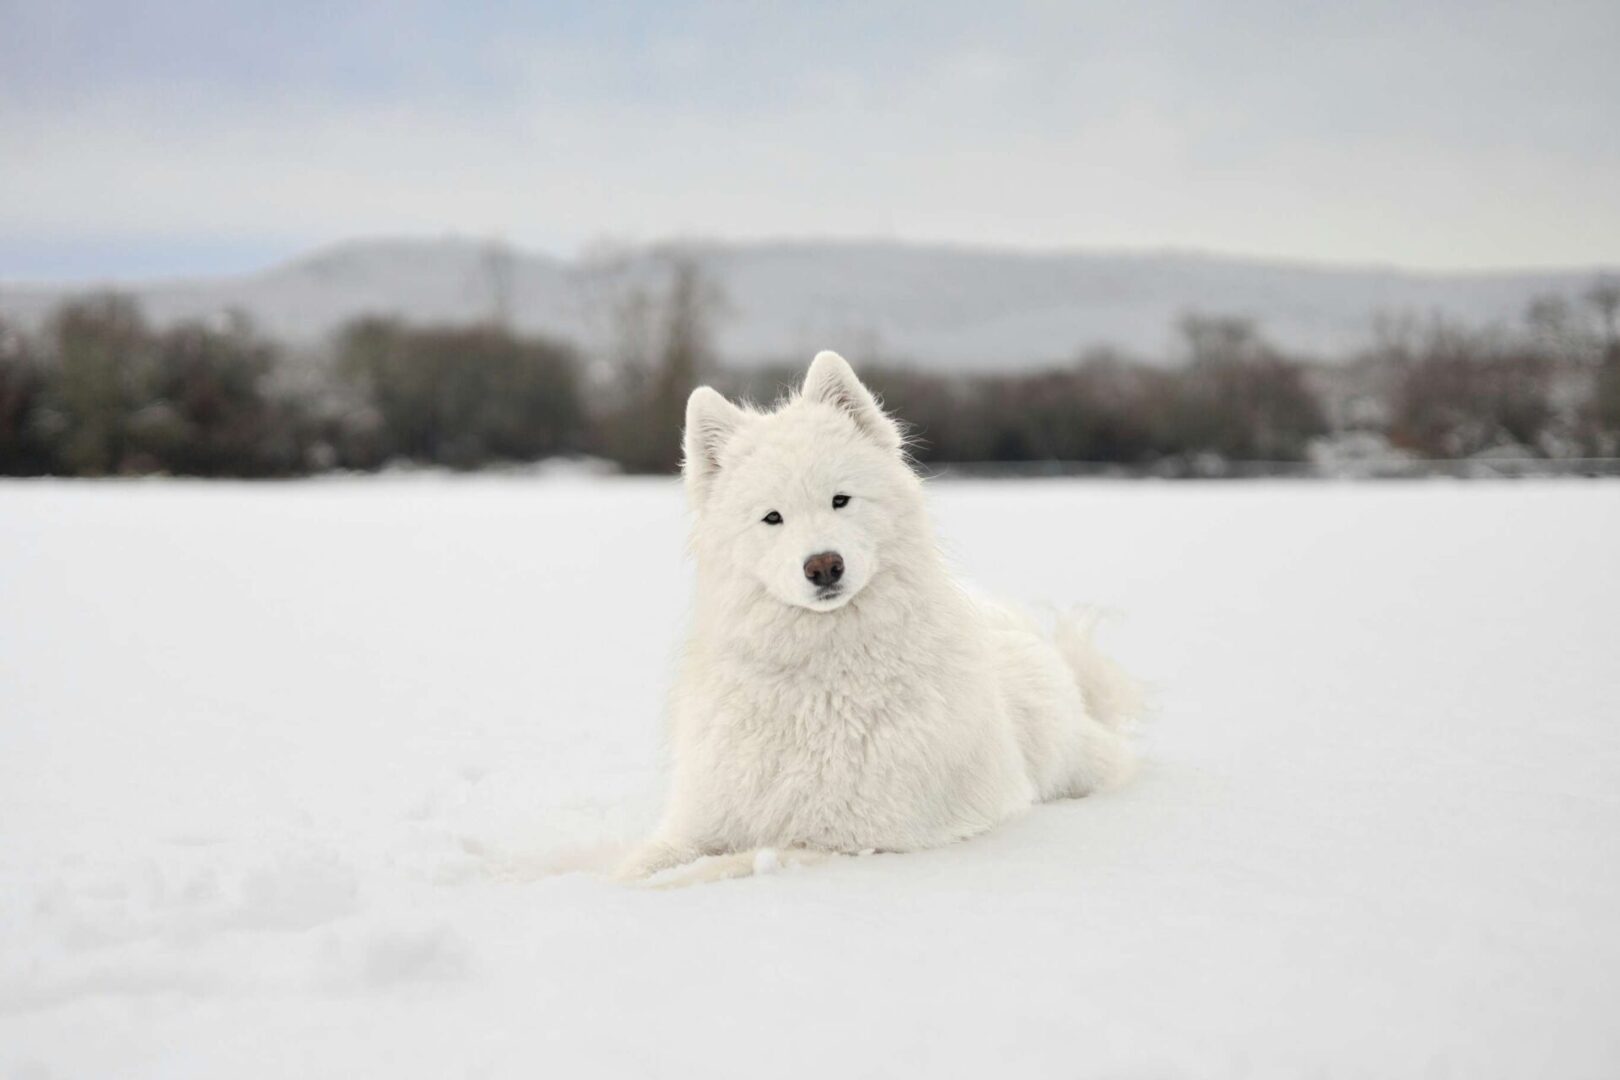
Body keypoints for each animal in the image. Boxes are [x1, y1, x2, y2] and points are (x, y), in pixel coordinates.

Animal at [618, 351, 1140, 880]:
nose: (824, 566)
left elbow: (724, 867)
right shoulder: (705, 820)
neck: (822, 674)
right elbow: (648, 859)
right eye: (772, 517)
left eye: (840, 500)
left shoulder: (847, 837)